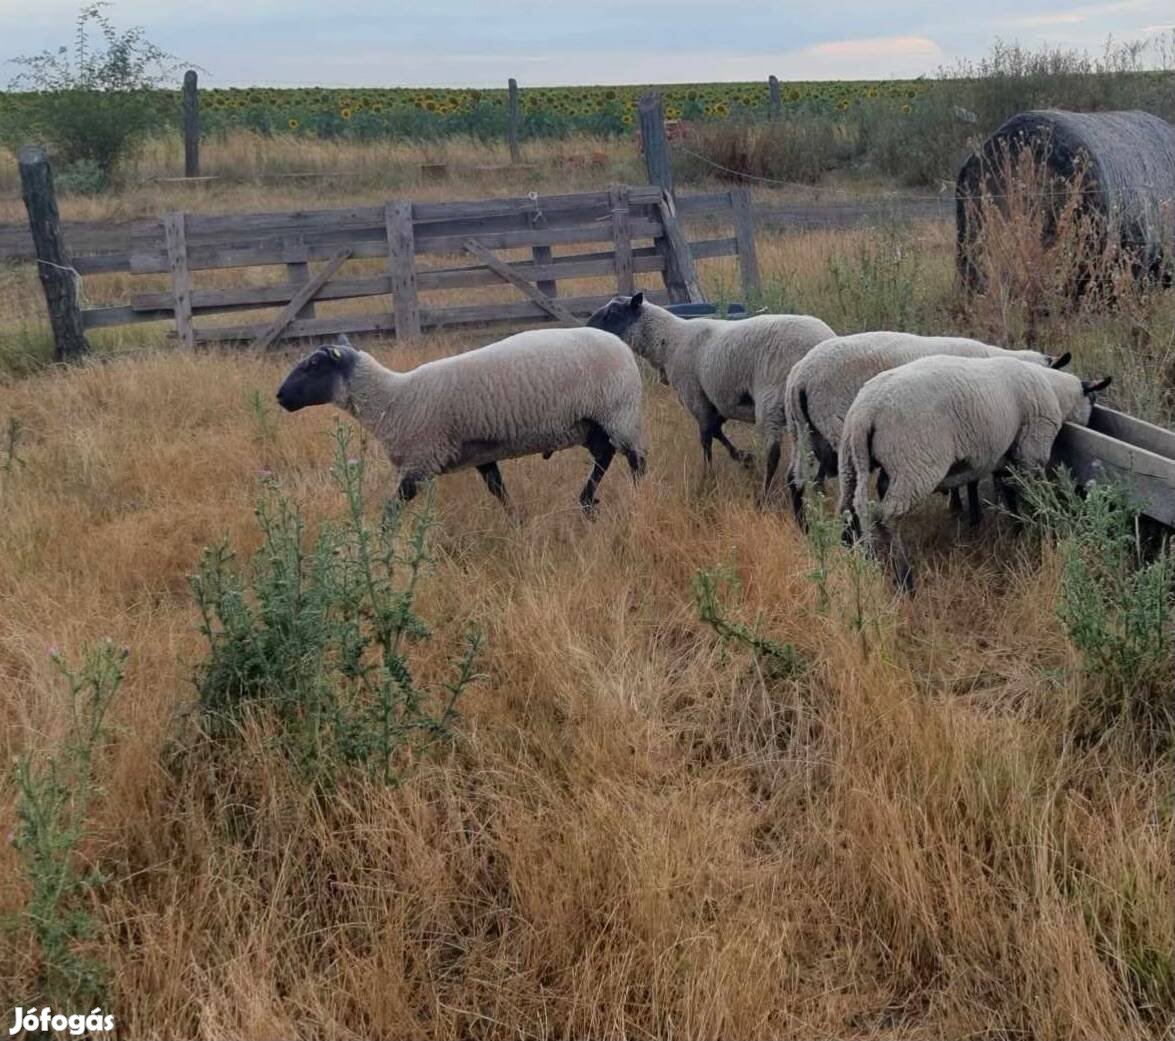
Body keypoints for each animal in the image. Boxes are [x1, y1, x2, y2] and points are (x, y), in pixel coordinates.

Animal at [274, 331, 648, 514]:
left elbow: (391, 511)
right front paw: (516, 522)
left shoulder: (420, 462)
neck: (393, 399)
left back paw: (638, 496)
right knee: (604, 455)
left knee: (635, 459)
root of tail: (622, 345)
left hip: (619, 412)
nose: (279, 396)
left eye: (313, 365)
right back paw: (586, 501)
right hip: (590, 424)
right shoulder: (480, 453)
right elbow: (499, 490)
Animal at [587, 293, 836, 500]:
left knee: (773, 453)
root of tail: (817, 341)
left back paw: (765, 495)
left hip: (772, 401)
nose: (587, 326)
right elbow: (716, 430)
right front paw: (743, 458)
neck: (669, 341)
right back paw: (819, 487)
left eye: (612, 313)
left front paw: (708, 477)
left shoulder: (696, 397)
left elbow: (706, 438)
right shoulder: (717, 401)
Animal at [784, 331, 1071, 526]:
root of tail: (801, 376)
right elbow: (970, 478)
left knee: (795, 478)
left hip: (802, 430)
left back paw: (804, 526)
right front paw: (965, 511)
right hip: (838, 430)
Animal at [841, 354, 1104, 589]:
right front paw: (1041, 531)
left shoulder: (1004, 457)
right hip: (915, 465)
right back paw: (904, 578)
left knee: (849, 508)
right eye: (1092, 400)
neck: (1054, 391)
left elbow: (1009, 492)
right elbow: (1032, 495)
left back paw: (857, 556)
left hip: (852, 459)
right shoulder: (1031, 451)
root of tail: (867, 410)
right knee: (887, 517)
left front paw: (1016, 529)